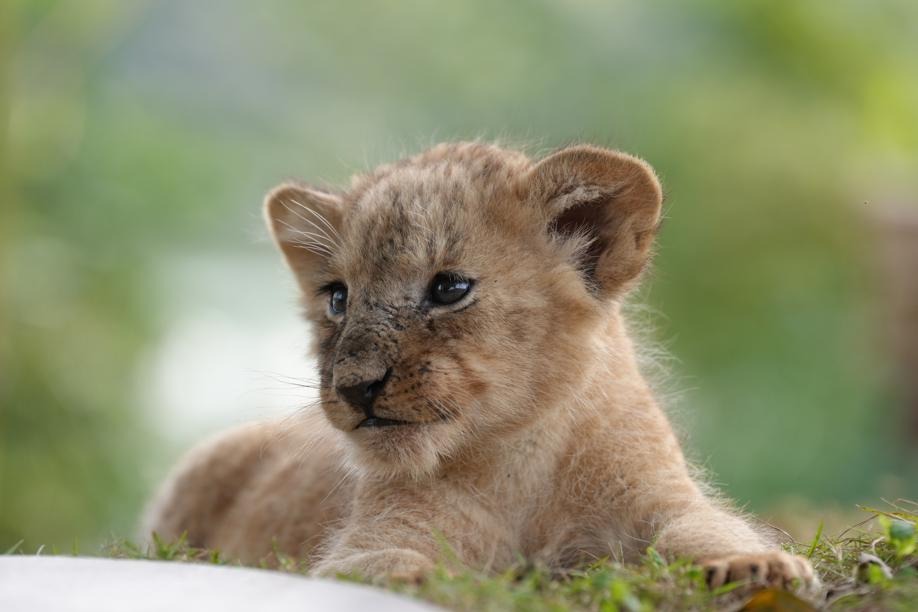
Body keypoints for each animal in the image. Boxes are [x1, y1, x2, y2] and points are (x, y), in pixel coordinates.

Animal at [143, 142, 816, 589]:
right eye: (337, 298)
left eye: (449, 288)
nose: (356, 387)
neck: (517, 457)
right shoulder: (372, 537)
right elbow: (384, 565)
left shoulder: (660, 497)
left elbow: (704, 529)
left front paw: (758, 566)